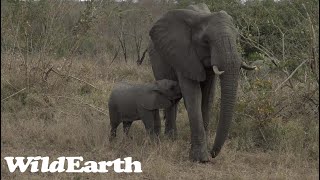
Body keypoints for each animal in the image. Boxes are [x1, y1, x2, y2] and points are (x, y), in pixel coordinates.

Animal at [146, 3, 254, 162]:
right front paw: (201, 159)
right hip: (157, 59)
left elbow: (208, 97)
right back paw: (171, 139)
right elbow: (194, 96)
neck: (202, 18)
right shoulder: (184, 55)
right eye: (206, 41)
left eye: (238, 38)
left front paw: (205, 154)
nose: (213, 152)